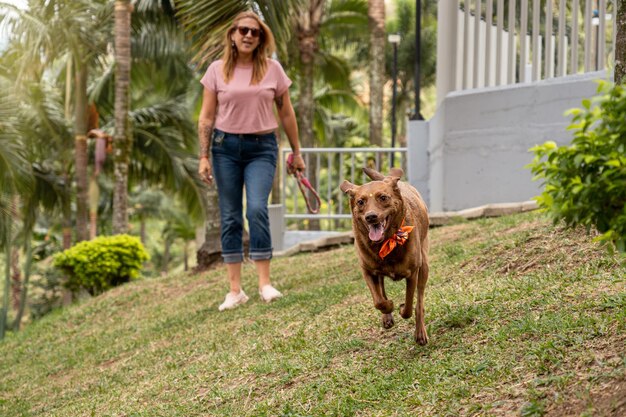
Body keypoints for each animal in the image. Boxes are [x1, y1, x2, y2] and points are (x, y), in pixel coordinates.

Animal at [338, 167, 426, 342]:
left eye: (383, 197)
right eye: (360, 202)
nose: (371, 217)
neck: (386, 241)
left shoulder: (412, 272)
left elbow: (409, 304)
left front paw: (401, 309)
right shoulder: (367, 271)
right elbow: (378, 301)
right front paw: (388, 307)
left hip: (424, 265)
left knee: (419, 301)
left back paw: (420, 332)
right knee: (381, 288)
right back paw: (387, 316)